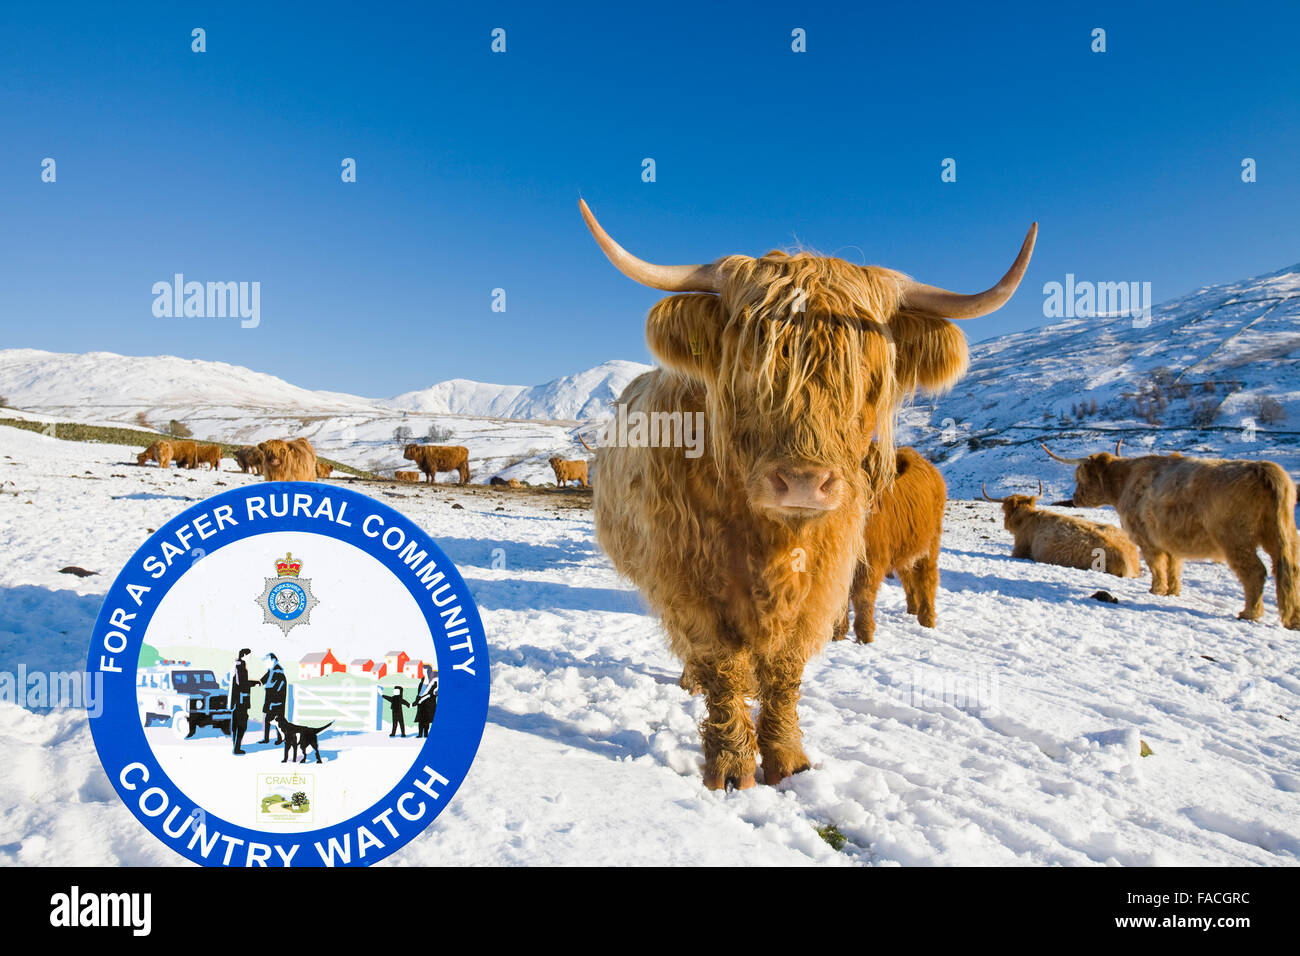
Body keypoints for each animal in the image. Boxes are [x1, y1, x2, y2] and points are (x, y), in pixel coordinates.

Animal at [832, 446, 947, 644]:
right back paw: (913, 609)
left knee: (927, 578)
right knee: (908, 575)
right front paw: (837, 634)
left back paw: (927, 620)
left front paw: (865, 636)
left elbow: (863, 596)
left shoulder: (872, 561)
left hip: (930, 543)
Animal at [1043, 441, 1300, 628]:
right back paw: (1292, 618)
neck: (1123, 483)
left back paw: (1249, 613)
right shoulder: (1169, 540)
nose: (1075, 497)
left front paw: (1155, 590)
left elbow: (1157, 566)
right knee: (1288, 569)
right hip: (1282, 535)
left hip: (1236, 540)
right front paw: (1172, 592)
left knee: (1255, 571)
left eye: (1079, 477)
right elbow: (1173, 566)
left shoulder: (1147, 539)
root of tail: (1261, 468)